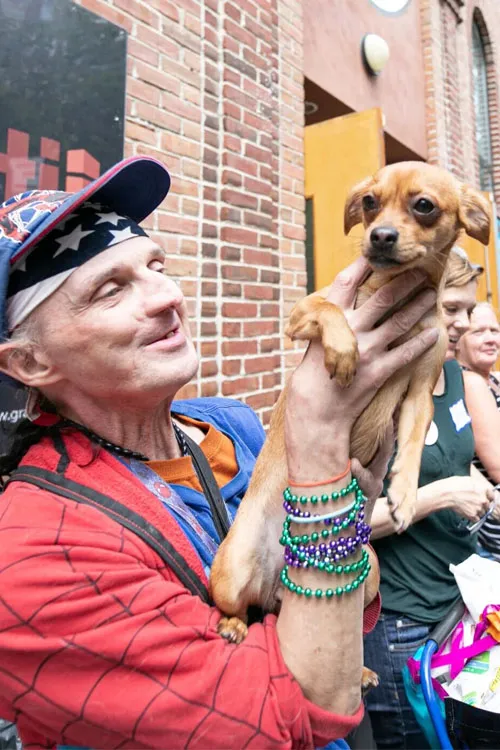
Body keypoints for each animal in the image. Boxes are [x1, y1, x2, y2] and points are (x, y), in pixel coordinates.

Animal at [210, 163, 490, 672]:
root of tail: (282, 574)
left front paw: (403, 494)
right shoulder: (304, 311)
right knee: (238, 607)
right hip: (232, 567)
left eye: (424, 206)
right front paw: (344, 351)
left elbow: (413, 442)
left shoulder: (419, 393)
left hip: (370, 572)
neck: (396, 296)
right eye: (369, 203)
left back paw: (359, 671)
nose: (379, 236)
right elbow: (330, 309)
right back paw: (233, 625)